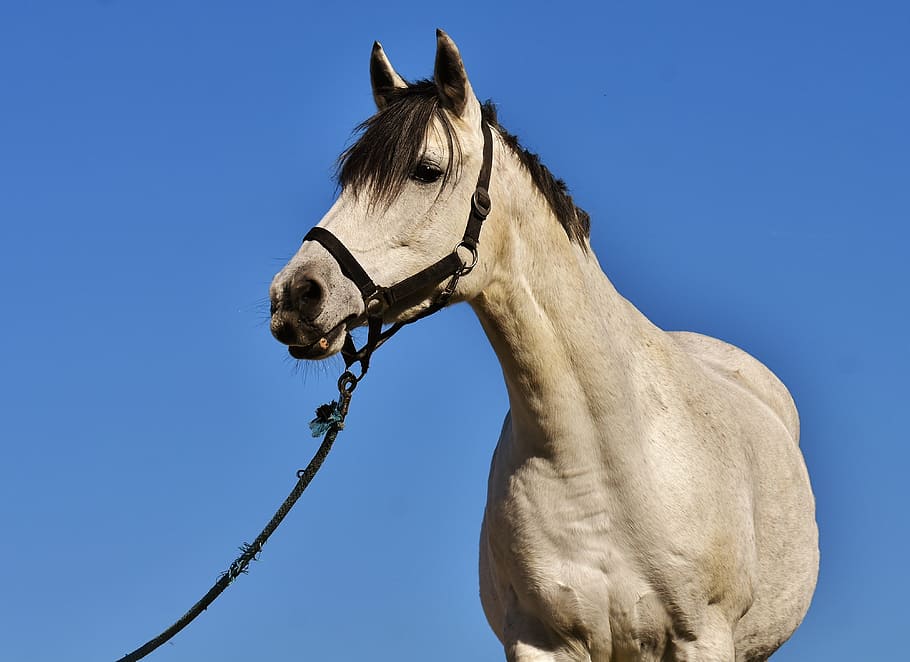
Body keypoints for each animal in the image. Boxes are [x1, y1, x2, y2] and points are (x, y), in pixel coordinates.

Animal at [269, 30, 818, 662]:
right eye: (349, 180)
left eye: (426, 171)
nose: (295, 295)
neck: (602, 460)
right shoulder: (538, 643)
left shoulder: (702, 637)